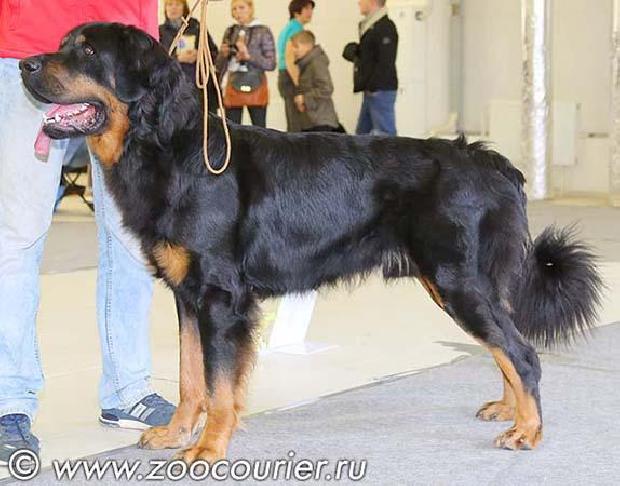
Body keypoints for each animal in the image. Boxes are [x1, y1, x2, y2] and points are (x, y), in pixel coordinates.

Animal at [20, 23, 603, 462]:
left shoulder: (220, 297)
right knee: (506, 345)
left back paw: (527, 429)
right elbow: (190, 378)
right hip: (458, 283)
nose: (25, 65)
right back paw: (508, 408)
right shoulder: (188, 295)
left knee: (522, 352)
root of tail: (496, 164)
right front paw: (177, 432)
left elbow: (219, 385)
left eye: (87, 51)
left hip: (458, 281)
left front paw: (208, 448)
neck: (170, 145)